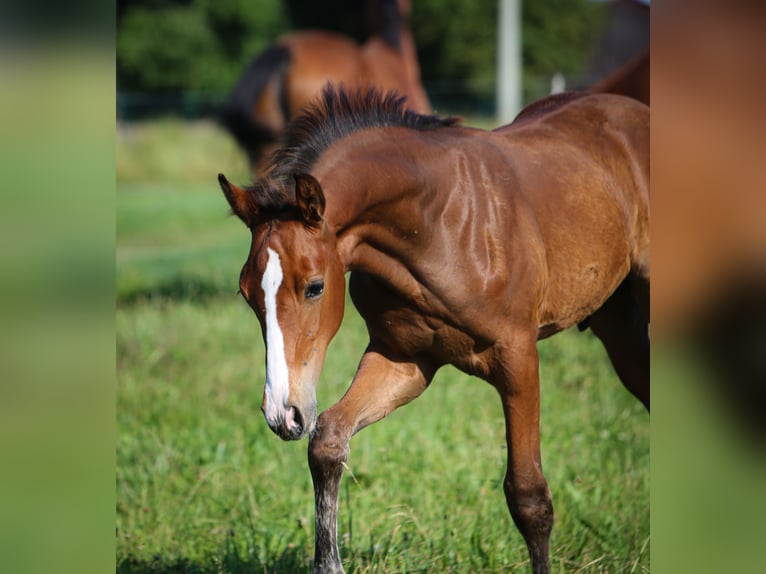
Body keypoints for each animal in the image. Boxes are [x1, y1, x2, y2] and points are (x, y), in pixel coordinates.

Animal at [217, 86, 649, 574]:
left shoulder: (519, 357)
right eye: (246, 294)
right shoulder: (405, 359)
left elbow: (529, 497)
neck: (438, 225)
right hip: (618, 327)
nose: (282, 414)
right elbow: (328, 439)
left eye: (314, 287)